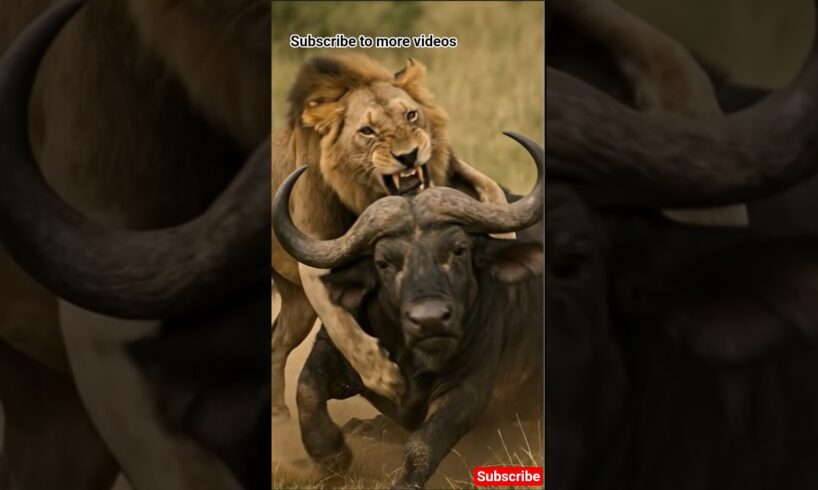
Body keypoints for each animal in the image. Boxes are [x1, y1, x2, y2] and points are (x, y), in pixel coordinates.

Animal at [271, 53, 510, 418]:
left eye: (411, 115)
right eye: (367, 131)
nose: (408, 155)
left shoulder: (453, 170)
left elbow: (493, 194)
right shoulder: (312, 251)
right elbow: (339, 322)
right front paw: (385, 378)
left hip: (297, 309)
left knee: (276, 341)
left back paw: (278, 414)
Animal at [272, 132, 544, 489]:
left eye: (459, 250)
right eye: (384, 262)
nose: (430, 319)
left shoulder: (467, 388)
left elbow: (424, 441)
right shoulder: (336, 349)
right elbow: (307, 391)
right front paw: (332, 455)